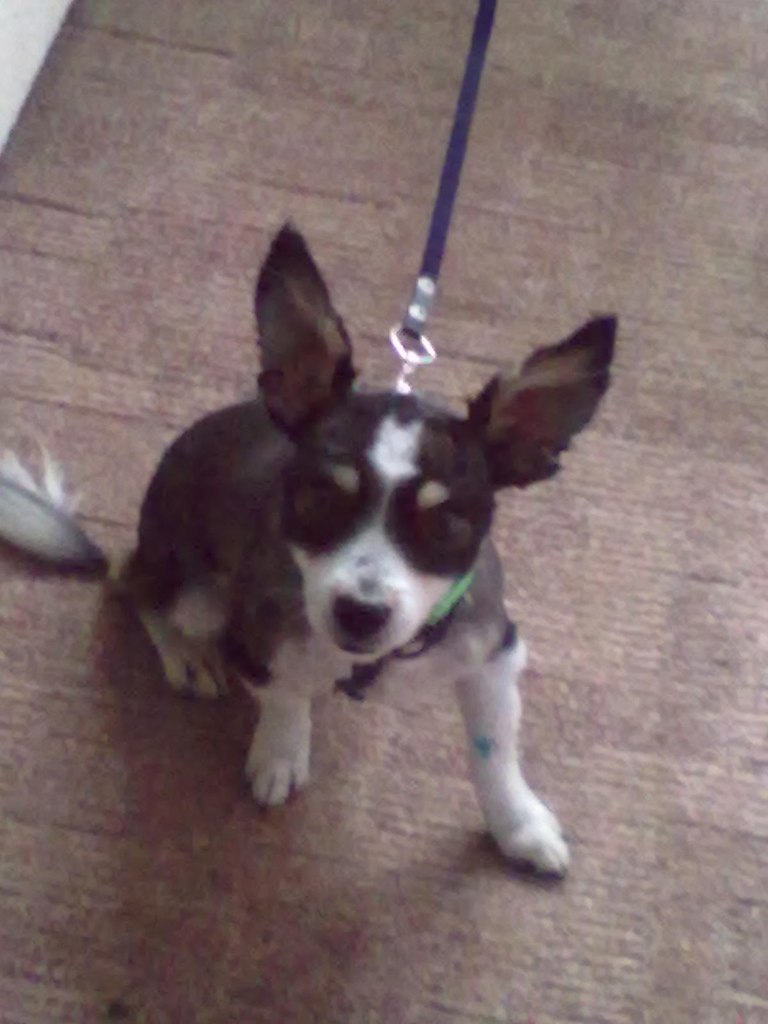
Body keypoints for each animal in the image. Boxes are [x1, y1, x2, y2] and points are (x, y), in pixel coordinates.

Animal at [0, 224, 615, 876]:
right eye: (319, 498)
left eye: (447, 524)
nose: (361, 612)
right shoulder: (255, 641)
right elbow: (285, 695)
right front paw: (280, 754)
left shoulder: (493, 652)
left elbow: (494, 752)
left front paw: (519, 826)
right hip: (194, 592)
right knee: (132, 582)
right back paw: (186, 652)